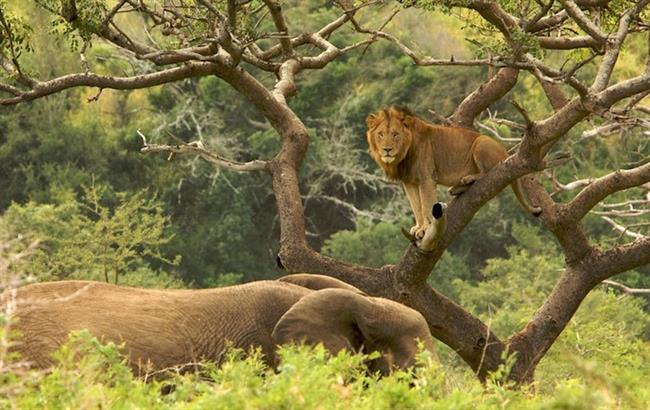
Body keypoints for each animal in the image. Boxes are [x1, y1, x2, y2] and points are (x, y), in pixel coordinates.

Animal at [364, 105, 540, 239]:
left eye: (396, 134)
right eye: (380, 134)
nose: (387, 150)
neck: (403, 156)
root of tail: (506, 152)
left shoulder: (426, 179)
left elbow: (426, 206)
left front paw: (425, 229)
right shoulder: (409, 183)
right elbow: (416, 206)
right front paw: (418, 227)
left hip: (480, 143)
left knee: (486, 172)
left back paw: (467, 178)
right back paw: (457, 188)